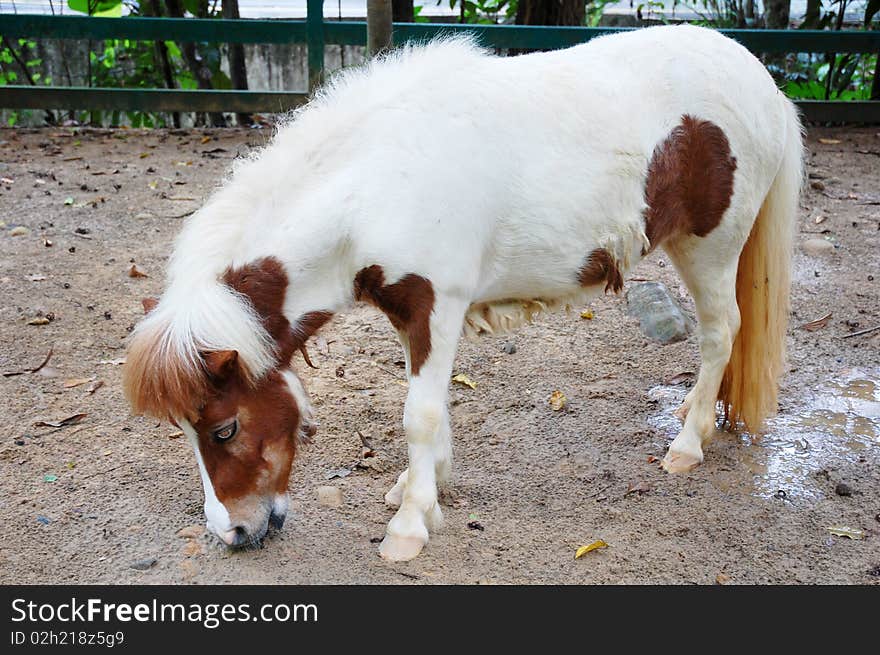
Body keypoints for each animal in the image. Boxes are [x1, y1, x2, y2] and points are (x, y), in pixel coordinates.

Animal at [122, 23, 804, 560]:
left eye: (224, 430)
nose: (232, 533)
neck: (375, 184)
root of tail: (763, 84)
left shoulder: (435, 306)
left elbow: (419, 415)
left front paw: (408, 528)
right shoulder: (409, 313)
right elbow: (432, 407)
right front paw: (419, 490)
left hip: (709, 248)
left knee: (719, 333)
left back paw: (688, 444)